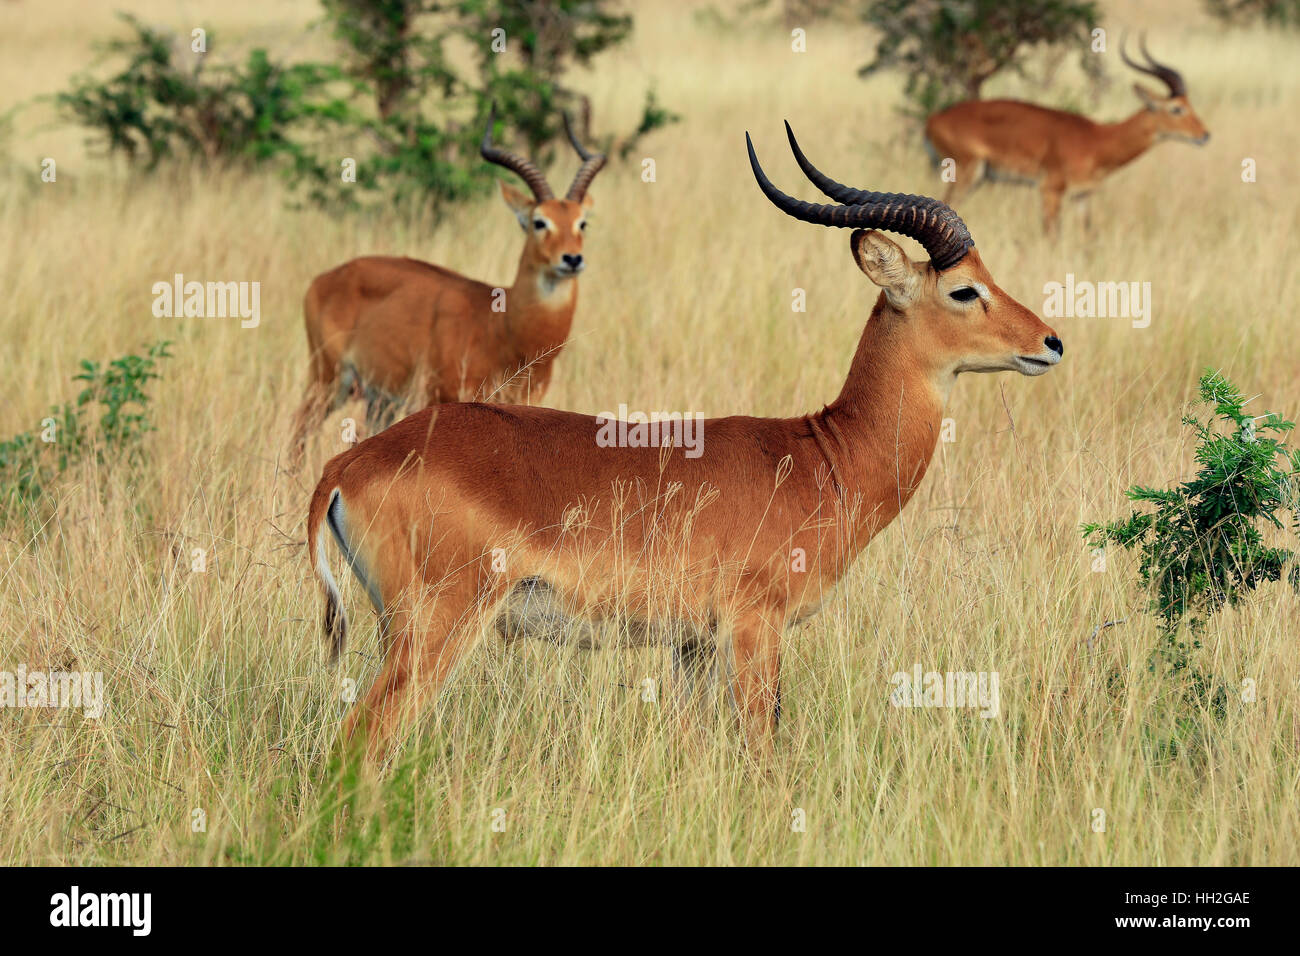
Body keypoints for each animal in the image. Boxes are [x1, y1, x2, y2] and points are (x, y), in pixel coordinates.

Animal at [289, 110, 603, 463]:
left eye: (582, 222)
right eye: (539, 222)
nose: (572, 258)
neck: (502, 328)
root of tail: (324, 277)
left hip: (378, 399)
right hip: (329, 380)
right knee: (299, 428)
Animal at [925, 36, 1206, 234]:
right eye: (1177, 108)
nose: (1205, 134)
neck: (1097, 139)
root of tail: (933, 119)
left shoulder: (1082, 196)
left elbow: (1088, 235)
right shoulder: (1050, 190)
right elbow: (1052, 236)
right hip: (966, 174)